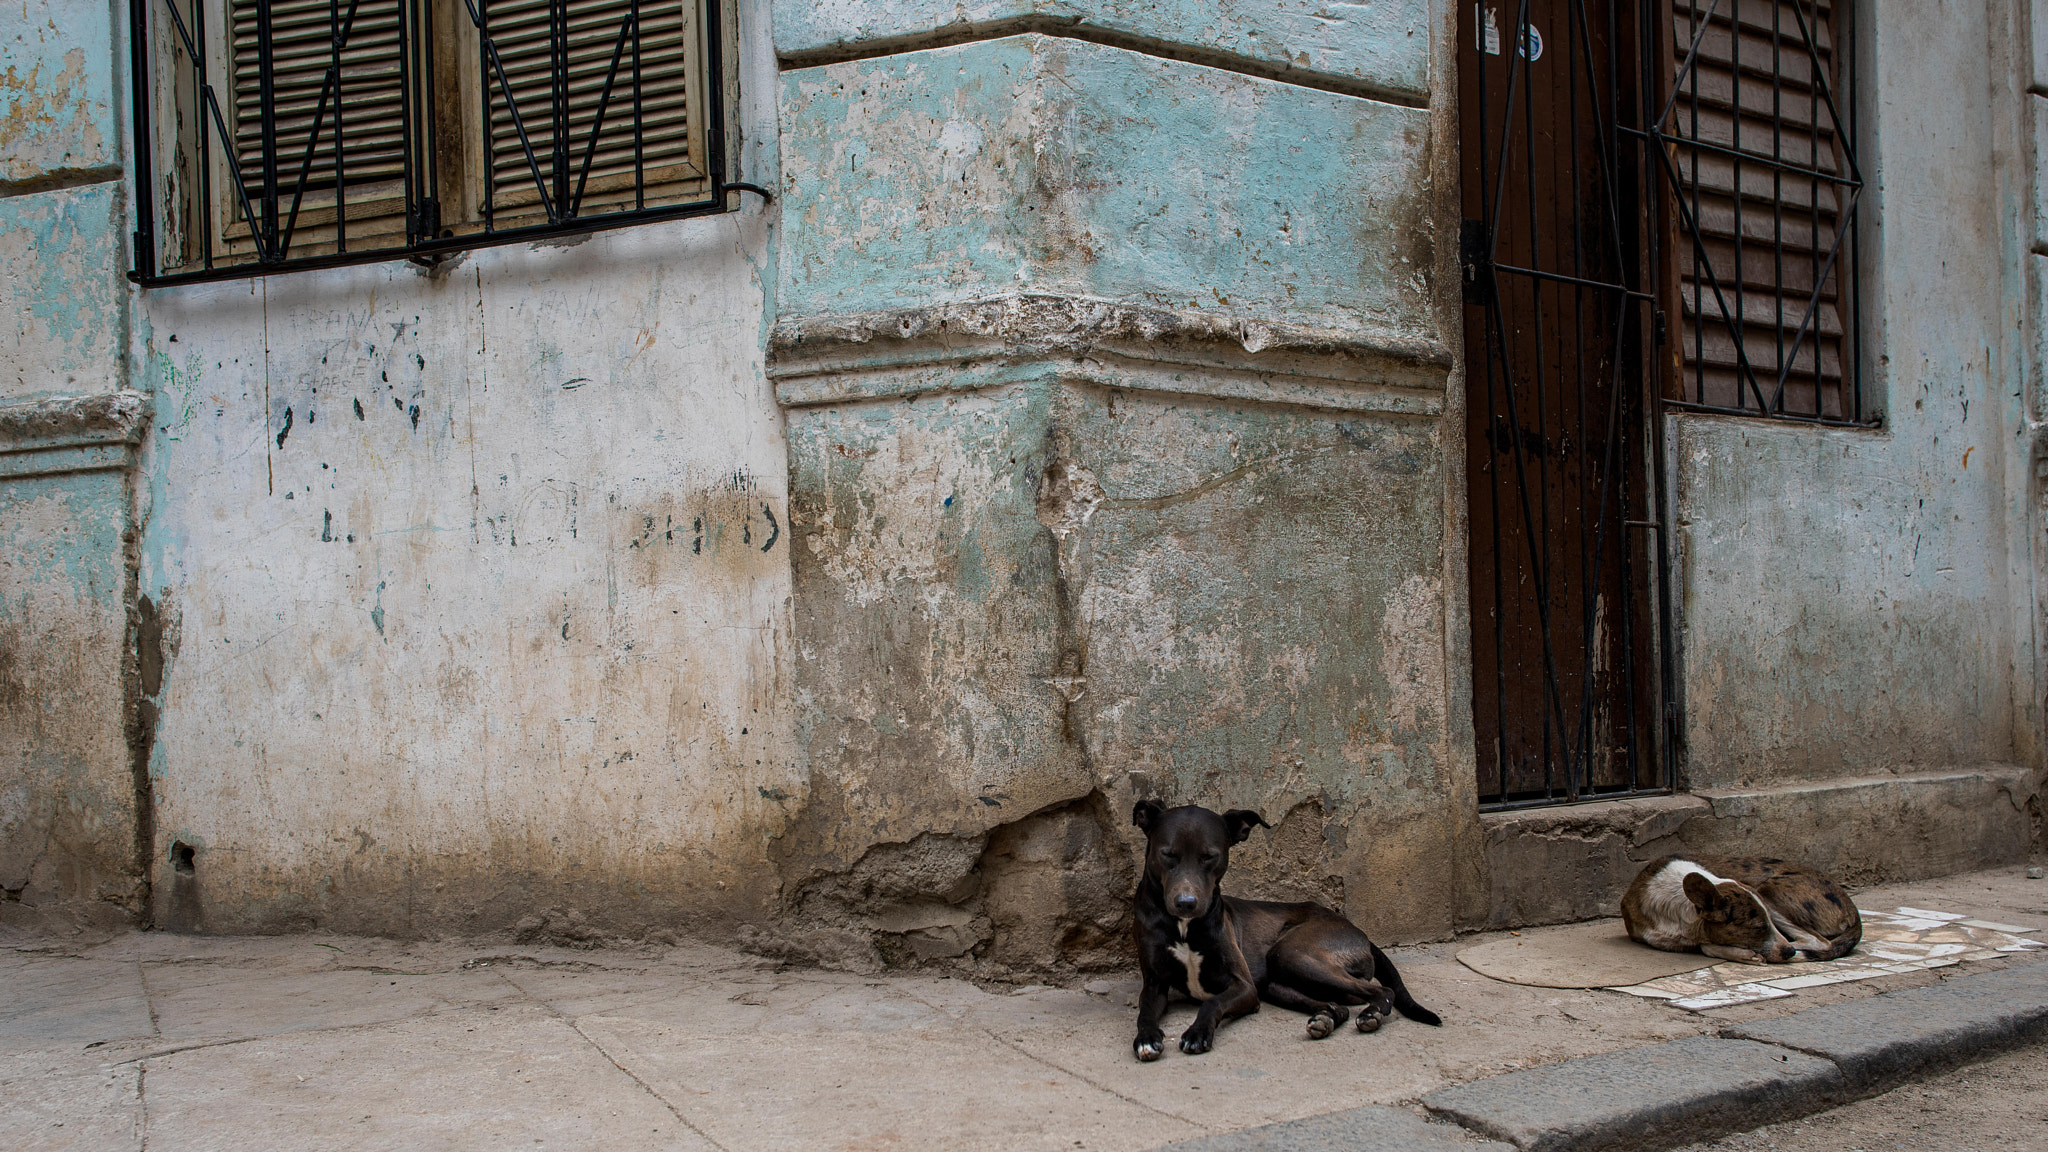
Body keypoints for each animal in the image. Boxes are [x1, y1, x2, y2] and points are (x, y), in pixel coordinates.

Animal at [1122, 799, 1441, 1057]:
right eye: (1167, 854)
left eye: (1209, 856)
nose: (1185, 904)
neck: (1184, 927)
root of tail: (1355, 928)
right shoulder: (1155, 984)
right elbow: (1144, 1012)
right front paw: (1146, 1038)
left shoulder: (1244, 987)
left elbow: (1211, 1004)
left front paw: (1198, 1034)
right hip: (1278, 982)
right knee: (1336, 1006)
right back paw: (1324, 1020)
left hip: (1292, 953)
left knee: (1380, 990)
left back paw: (1371, 1014)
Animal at [1622, 852, 1867, 959]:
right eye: (1757, 928)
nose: (1788, 953)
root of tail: (1852, 909)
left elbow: (1707, 946)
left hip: (1770, 890)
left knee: (1819, 942)